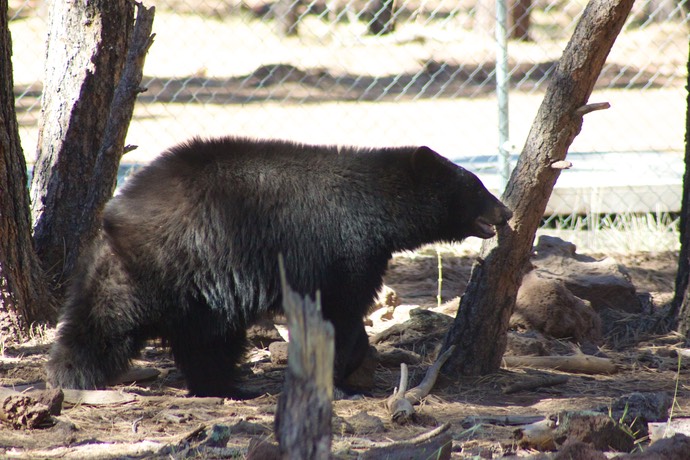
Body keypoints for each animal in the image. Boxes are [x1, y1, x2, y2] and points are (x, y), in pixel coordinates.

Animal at [47, 136, 510, 396]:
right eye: (477, 185)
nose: (505, 211)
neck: (377, 211)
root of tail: (116, 210)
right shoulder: (340, 252)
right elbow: (340, 313)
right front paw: (343, 373)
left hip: (187, 291)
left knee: (205, 341)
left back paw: (225, 385)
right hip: (162, 267)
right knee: (106, 322)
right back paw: (72, 375)